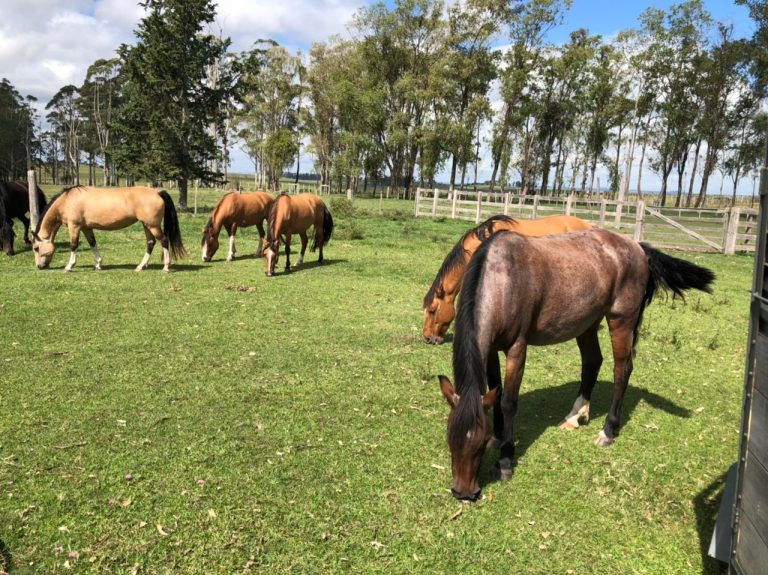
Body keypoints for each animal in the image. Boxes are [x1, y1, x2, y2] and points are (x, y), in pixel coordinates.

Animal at [31, 186, 188, 274]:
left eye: (36, 248)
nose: (39, 266)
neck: (68, 200)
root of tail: (157, 192)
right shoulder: (86, 228)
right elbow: (92, 244)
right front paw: (98, 264)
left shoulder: (74, 226)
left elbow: (73, 245)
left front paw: (69, 266)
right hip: (147, 225)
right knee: (150, 243)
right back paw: (140, 266)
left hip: (153, 225)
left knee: (164, 241)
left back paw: (166, 267)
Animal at [440, 228, 716, 500]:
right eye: (450, 438)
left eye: (478, 444)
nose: (463, 493)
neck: (502, 281)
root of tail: (637, 247)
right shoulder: (491, 349)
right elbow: (495, 394)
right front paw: (499, 438)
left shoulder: (517, 348)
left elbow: (508, 402)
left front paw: (505, 460)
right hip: (587, 323)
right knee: (593, 362)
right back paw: (575, 415)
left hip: (621, 321)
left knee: (621, 370)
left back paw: (608, 431)